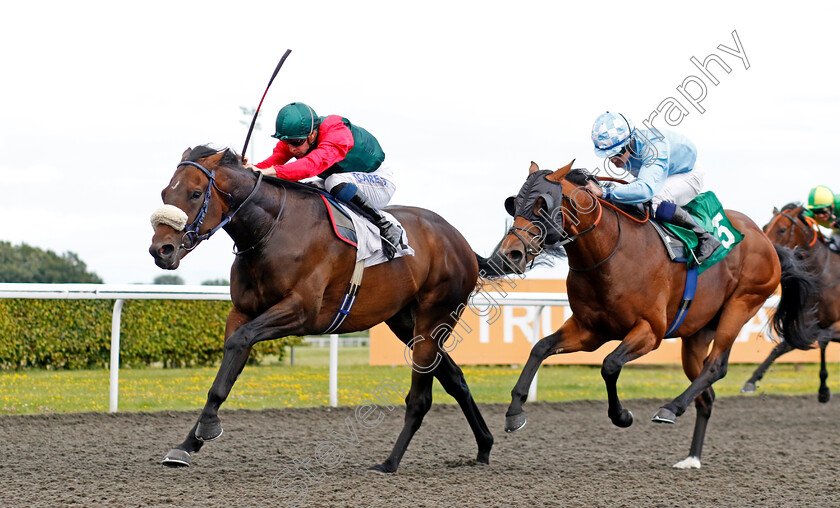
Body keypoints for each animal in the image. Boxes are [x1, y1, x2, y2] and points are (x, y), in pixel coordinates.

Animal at [149, 146, 492, 472]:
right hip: (406, 323)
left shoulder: (301, 311)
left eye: (195, 194)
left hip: (435, 316)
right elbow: (228, 368)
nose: (160, 250)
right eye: (165, 193)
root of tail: (459, 241)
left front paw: (206, 428)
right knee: (454, 377)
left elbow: (239, 342)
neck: (272, 228)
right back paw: (484, 447)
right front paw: (187, 445)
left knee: (421, 398)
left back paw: (389, 462)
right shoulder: (243, 311)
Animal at [480, 162, 820, 468]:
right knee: (706, 393)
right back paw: (692, 458)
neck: (609, 252)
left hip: (741, 305)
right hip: (696, 333)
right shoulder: (589, 330)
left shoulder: (651, 330)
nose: (509, 255)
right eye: (514, 204)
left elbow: (610, 364)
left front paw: (622, 415)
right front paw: (514, 413)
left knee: (716, 366)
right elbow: (540, 347)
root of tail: (766, 239)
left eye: (542, 205)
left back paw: (670, 408)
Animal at [740, 202, 840, 400]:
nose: (768, 252)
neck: (827, 275)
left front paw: (824, 389)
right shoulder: (809, 324)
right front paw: (751, 381)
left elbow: (822, 339)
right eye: (765, 227)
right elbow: (782, 346)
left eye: (782, 229)